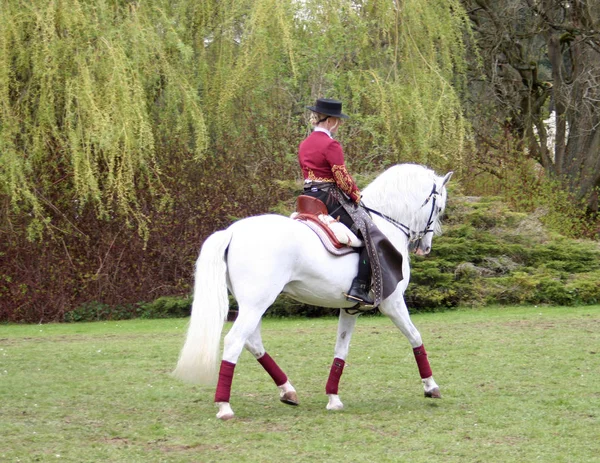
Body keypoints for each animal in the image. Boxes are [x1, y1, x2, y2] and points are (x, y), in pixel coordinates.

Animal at [171, 163, 452, 420]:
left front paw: (333, 398)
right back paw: (224, 406)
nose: (425, 247)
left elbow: (341, 350)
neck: (385, 223)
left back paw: (288, 391)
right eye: (438, 208)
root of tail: (231, 231)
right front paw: (431, 387)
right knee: (234, 342)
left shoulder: (350, 308)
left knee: (252, 342)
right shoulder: (392, 302)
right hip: (256, 304)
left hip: (252, 305)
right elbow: (415, 337)